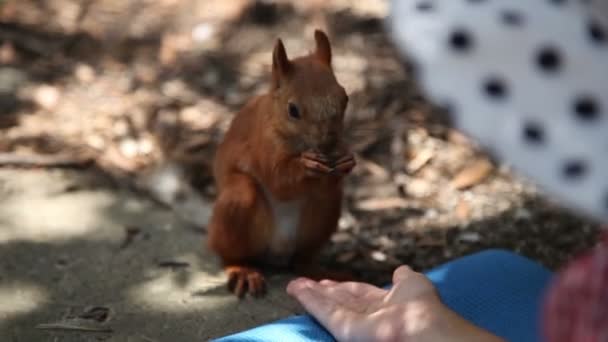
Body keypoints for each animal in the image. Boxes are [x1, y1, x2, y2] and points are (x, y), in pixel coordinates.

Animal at [208, 28, 356, 296]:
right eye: (293, 110)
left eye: (345, 98)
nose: (329, 143)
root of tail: (277, 254)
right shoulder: (261, 143)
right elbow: (277, 179)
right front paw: (306, 165)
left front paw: (347, 160)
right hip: (237, 205)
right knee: (229, 253)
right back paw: (242, 270)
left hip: (323, 213)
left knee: (301, 260)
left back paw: (326, 274)